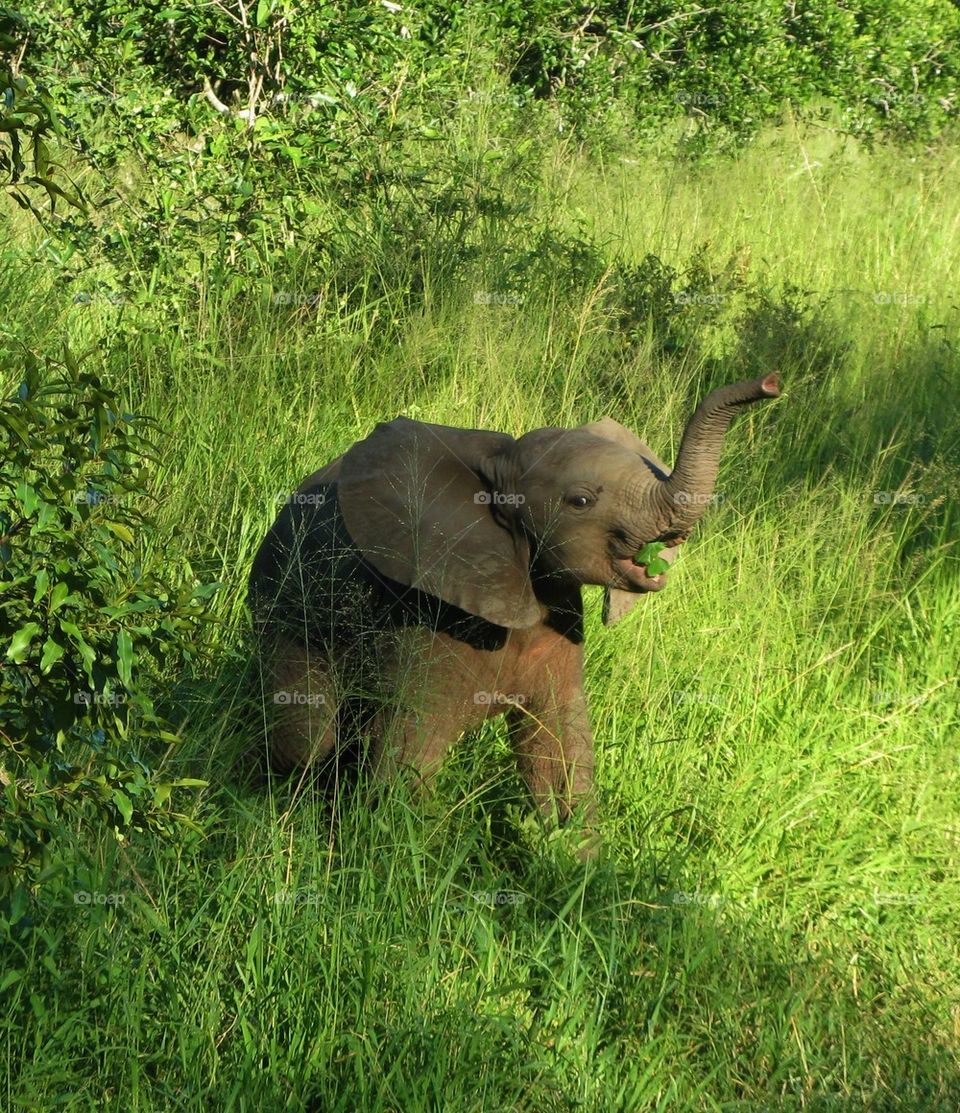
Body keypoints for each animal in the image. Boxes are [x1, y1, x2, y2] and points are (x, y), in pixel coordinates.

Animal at [248, 373, 783, 850]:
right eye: (581, 500)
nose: (771, 383)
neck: (501, 463)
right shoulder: (425, 610)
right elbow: (411, 750)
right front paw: (391, 858)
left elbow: (558, 745)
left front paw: (575, 864)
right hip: (283, 602)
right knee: (307, 737)